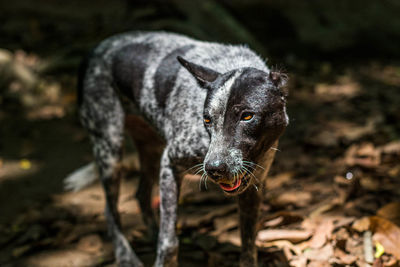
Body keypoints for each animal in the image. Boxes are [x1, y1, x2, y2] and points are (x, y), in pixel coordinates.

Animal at [67, 31, 290, 267]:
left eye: (247, 116)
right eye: (207, 119)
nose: (214, 169)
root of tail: (94, 49)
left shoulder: (254, 187)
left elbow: (248, 244)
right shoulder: (170, 165)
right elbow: (169, 243)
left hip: (149, 148)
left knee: (141, 194)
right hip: (110, 149)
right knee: (110, 211)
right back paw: (127, 257)